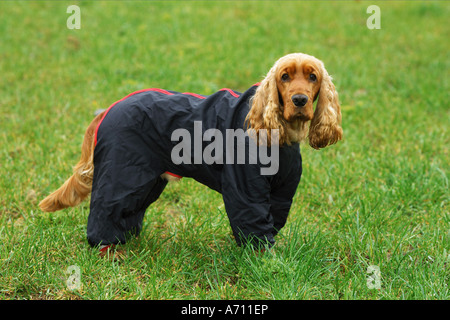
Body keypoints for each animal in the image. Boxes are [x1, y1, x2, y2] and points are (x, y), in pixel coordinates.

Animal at [39, 52, 342, 249]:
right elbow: (254, 222)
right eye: (284, 77)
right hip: (121, 174)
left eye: (313, 77)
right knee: (105, 211)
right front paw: (263, 258)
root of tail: (109, 108)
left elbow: (273, 218)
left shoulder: (281, 191)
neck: (281, 131)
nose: (300, 100)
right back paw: (108, 249)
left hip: (147, 180)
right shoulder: (245, 187)